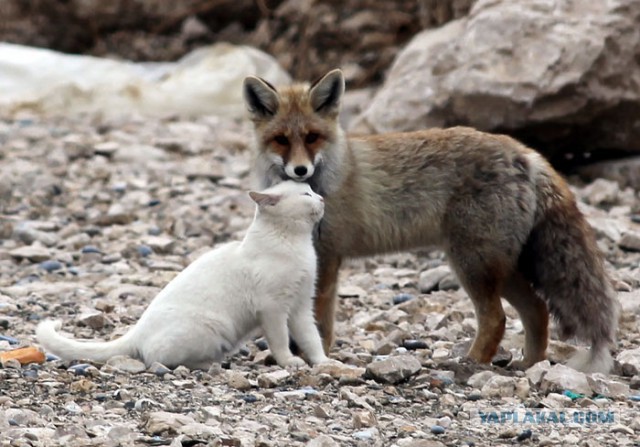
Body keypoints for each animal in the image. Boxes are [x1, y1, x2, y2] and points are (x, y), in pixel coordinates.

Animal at [242, 68, 620, 373]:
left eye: (312, 137)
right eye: (281, 140)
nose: (300, 170)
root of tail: (526, 153)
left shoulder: (329, 255)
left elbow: (319, 321)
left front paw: (315, 356)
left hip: (472, 264)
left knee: (496, 319)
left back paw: (470, 364)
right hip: (499, 266)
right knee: (537, 310)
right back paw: (530, 365)